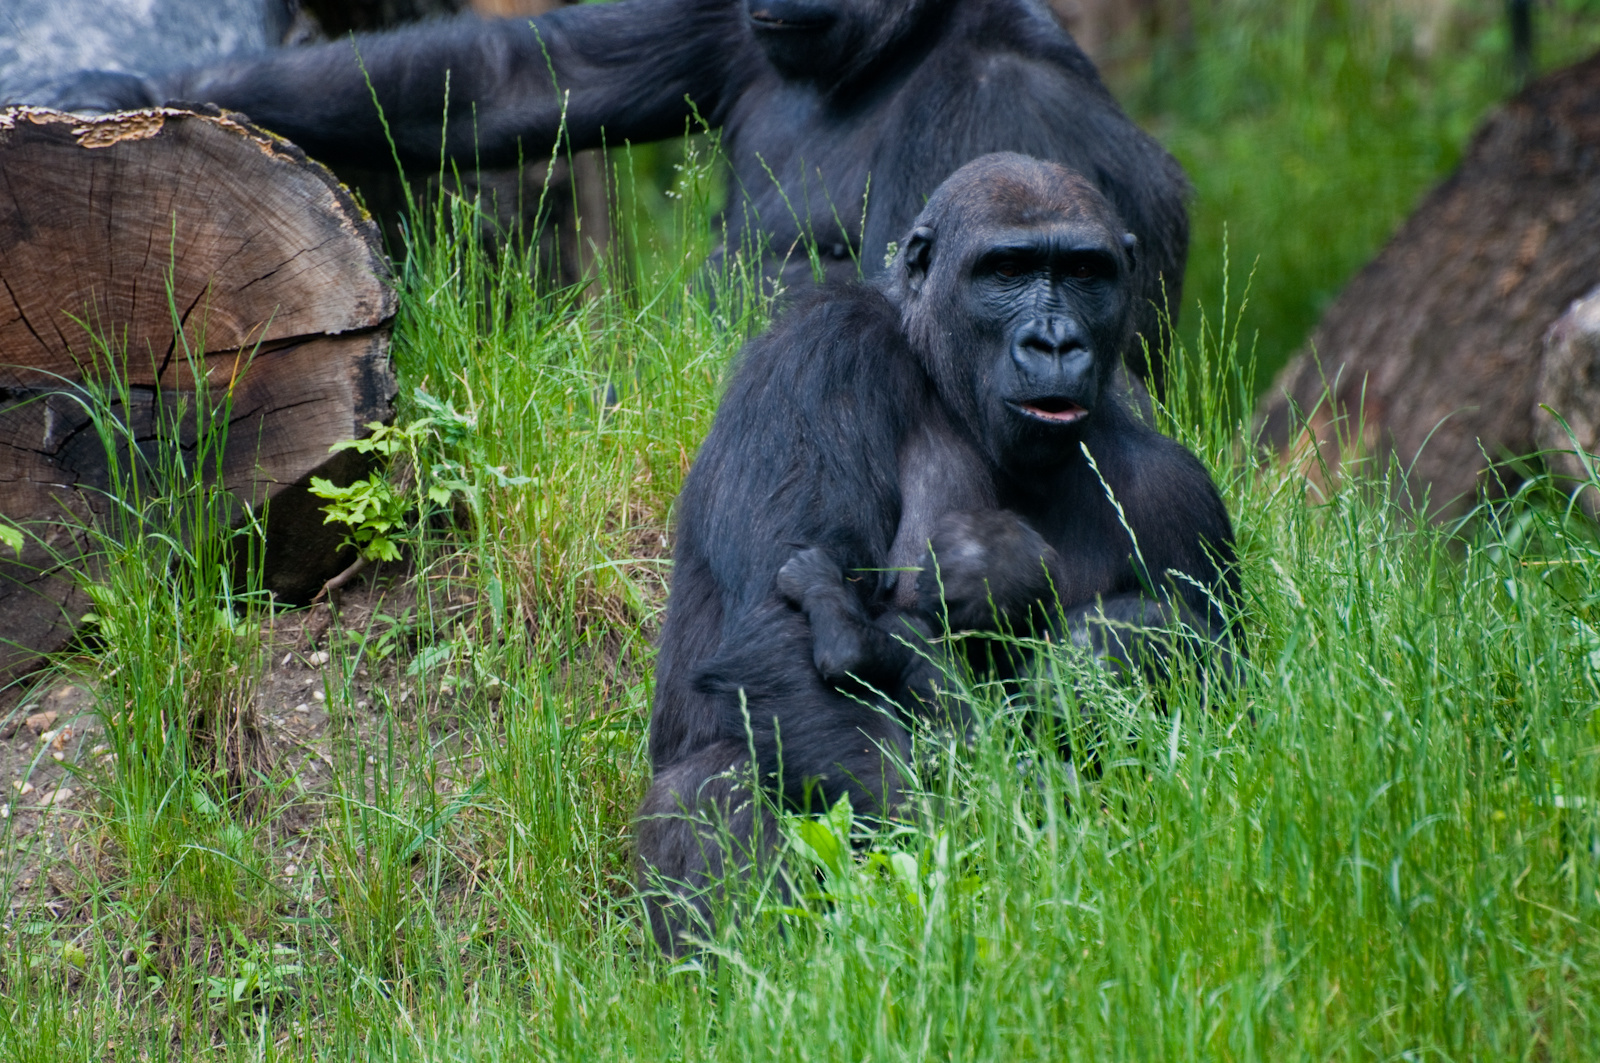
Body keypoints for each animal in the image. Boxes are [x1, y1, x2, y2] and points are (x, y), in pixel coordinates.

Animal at [636, 151, 1235, 954]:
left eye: (1086, 271)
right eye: (1006, 269)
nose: (1054, 342)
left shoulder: (1181, 497)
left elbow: (1230, 710)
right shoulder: (823, 354)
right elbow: (776, 632)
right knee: (713, 778)